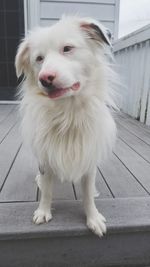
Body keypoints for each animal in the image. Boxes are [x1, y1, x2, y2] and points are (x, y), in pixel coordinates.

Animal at [14, 15, 116, 238]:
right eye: (39, 59)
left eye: (67, 49)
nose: (45, 79)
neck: (67, 113)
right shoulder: (45, 158)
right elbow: (47, 190)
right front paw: (43, 211)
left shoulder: (88, 157)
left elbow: (87, 193)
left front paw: (93, 218)